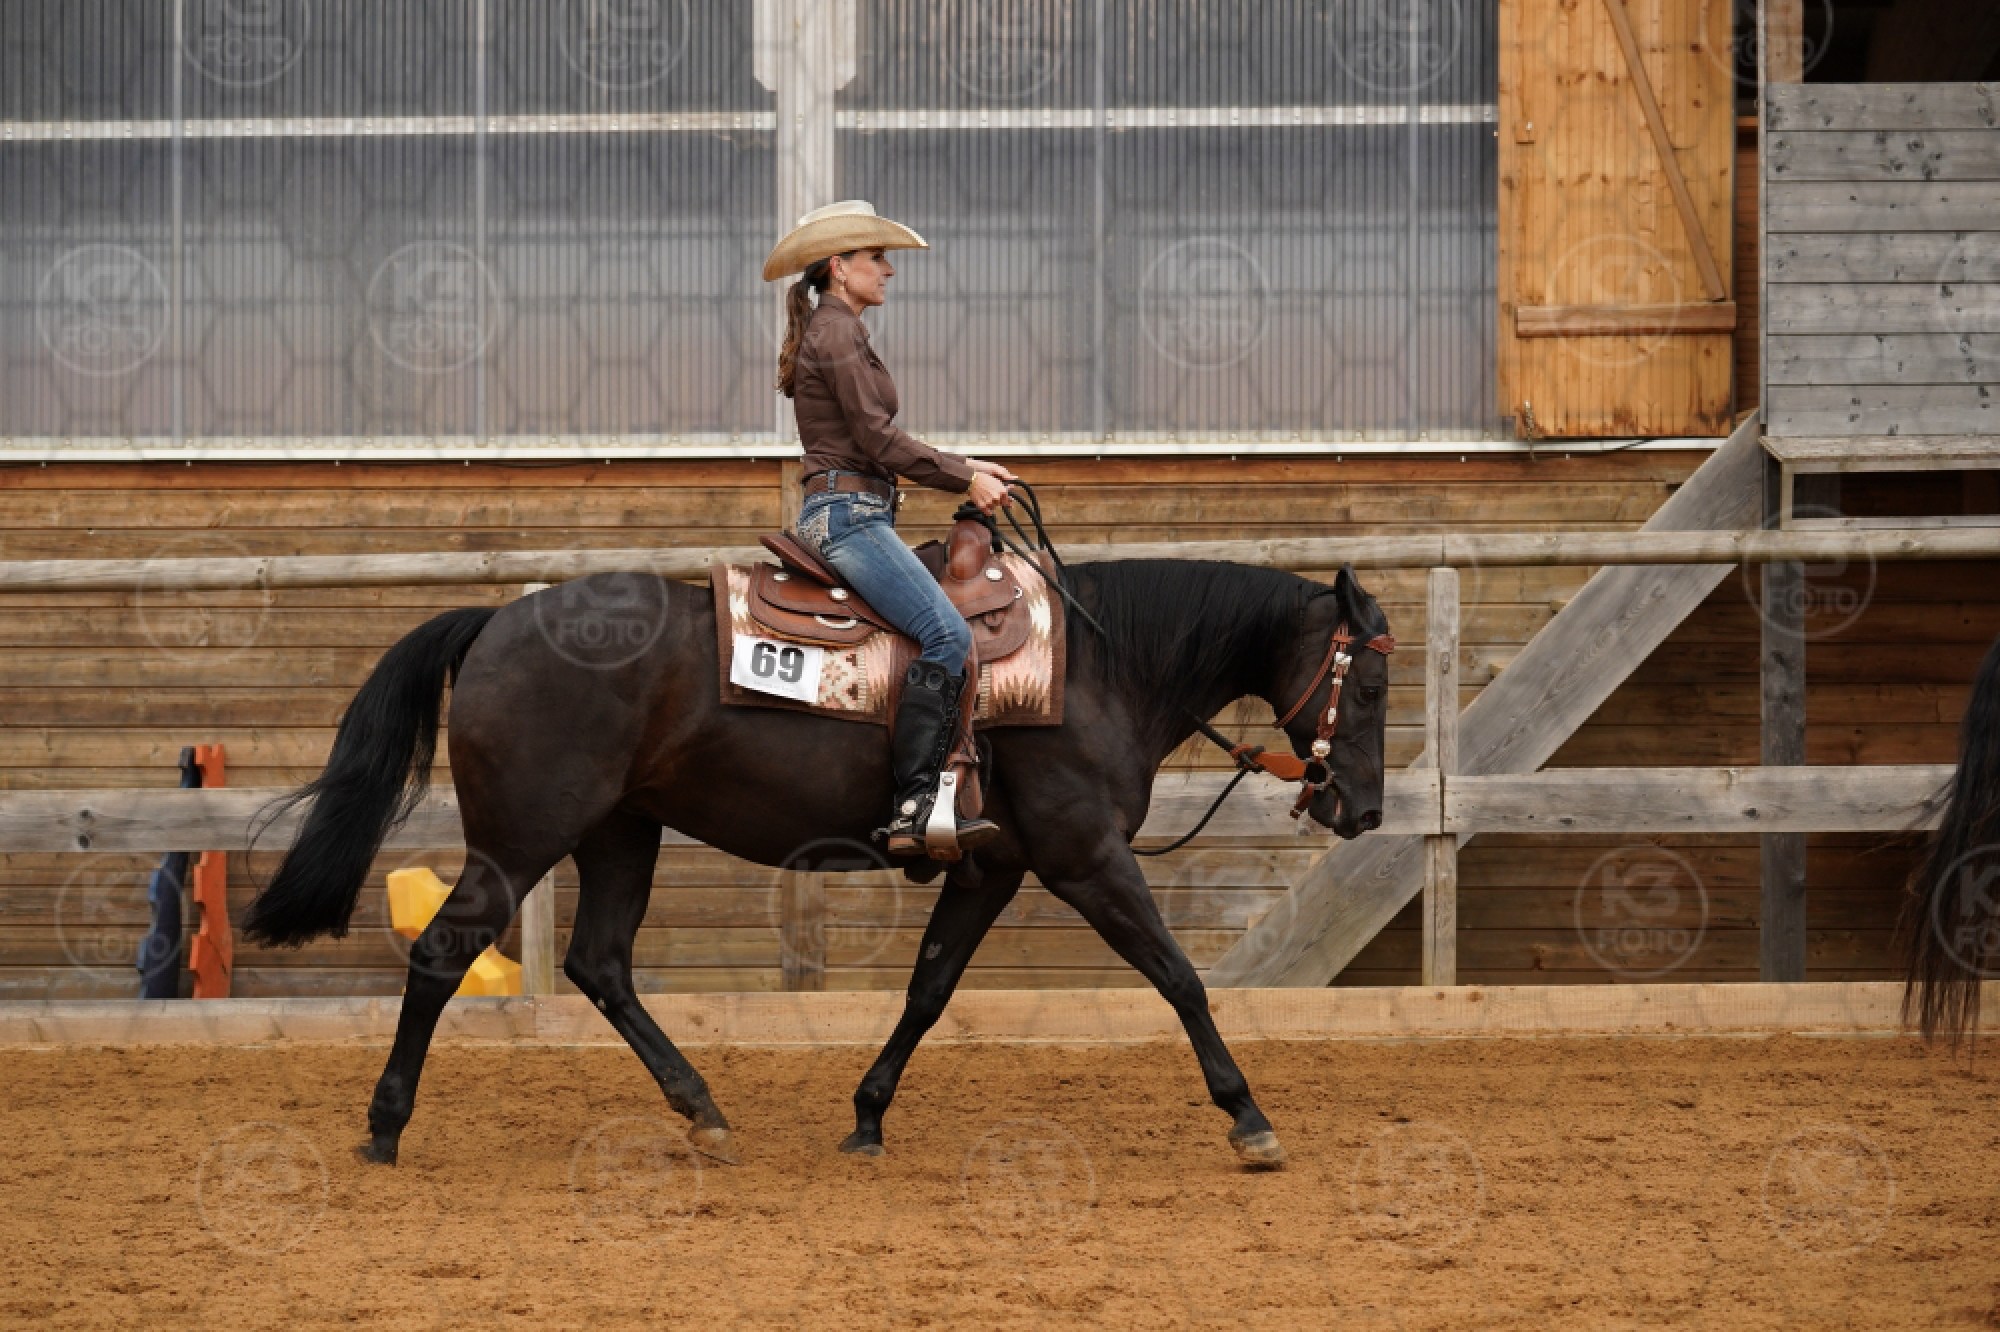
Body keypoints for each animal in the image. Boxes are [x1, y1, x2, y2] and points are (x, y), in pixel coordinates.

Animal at [241, 555, 1393, 1170]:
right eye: (1373, 685)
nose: (1365, 808)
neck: (1099, 669)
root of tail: (493, 623)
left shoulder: (991, 869)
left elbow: (929, 989)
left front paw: (867, 1117)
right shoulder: (1085, 859)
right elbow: (1178, 976)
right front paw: (1248, 1117)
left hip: (621, 831)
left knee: (601, 964)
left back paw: (703, 1112)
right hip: (524, 838)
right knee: (443, 954)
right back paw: (384, 1131)